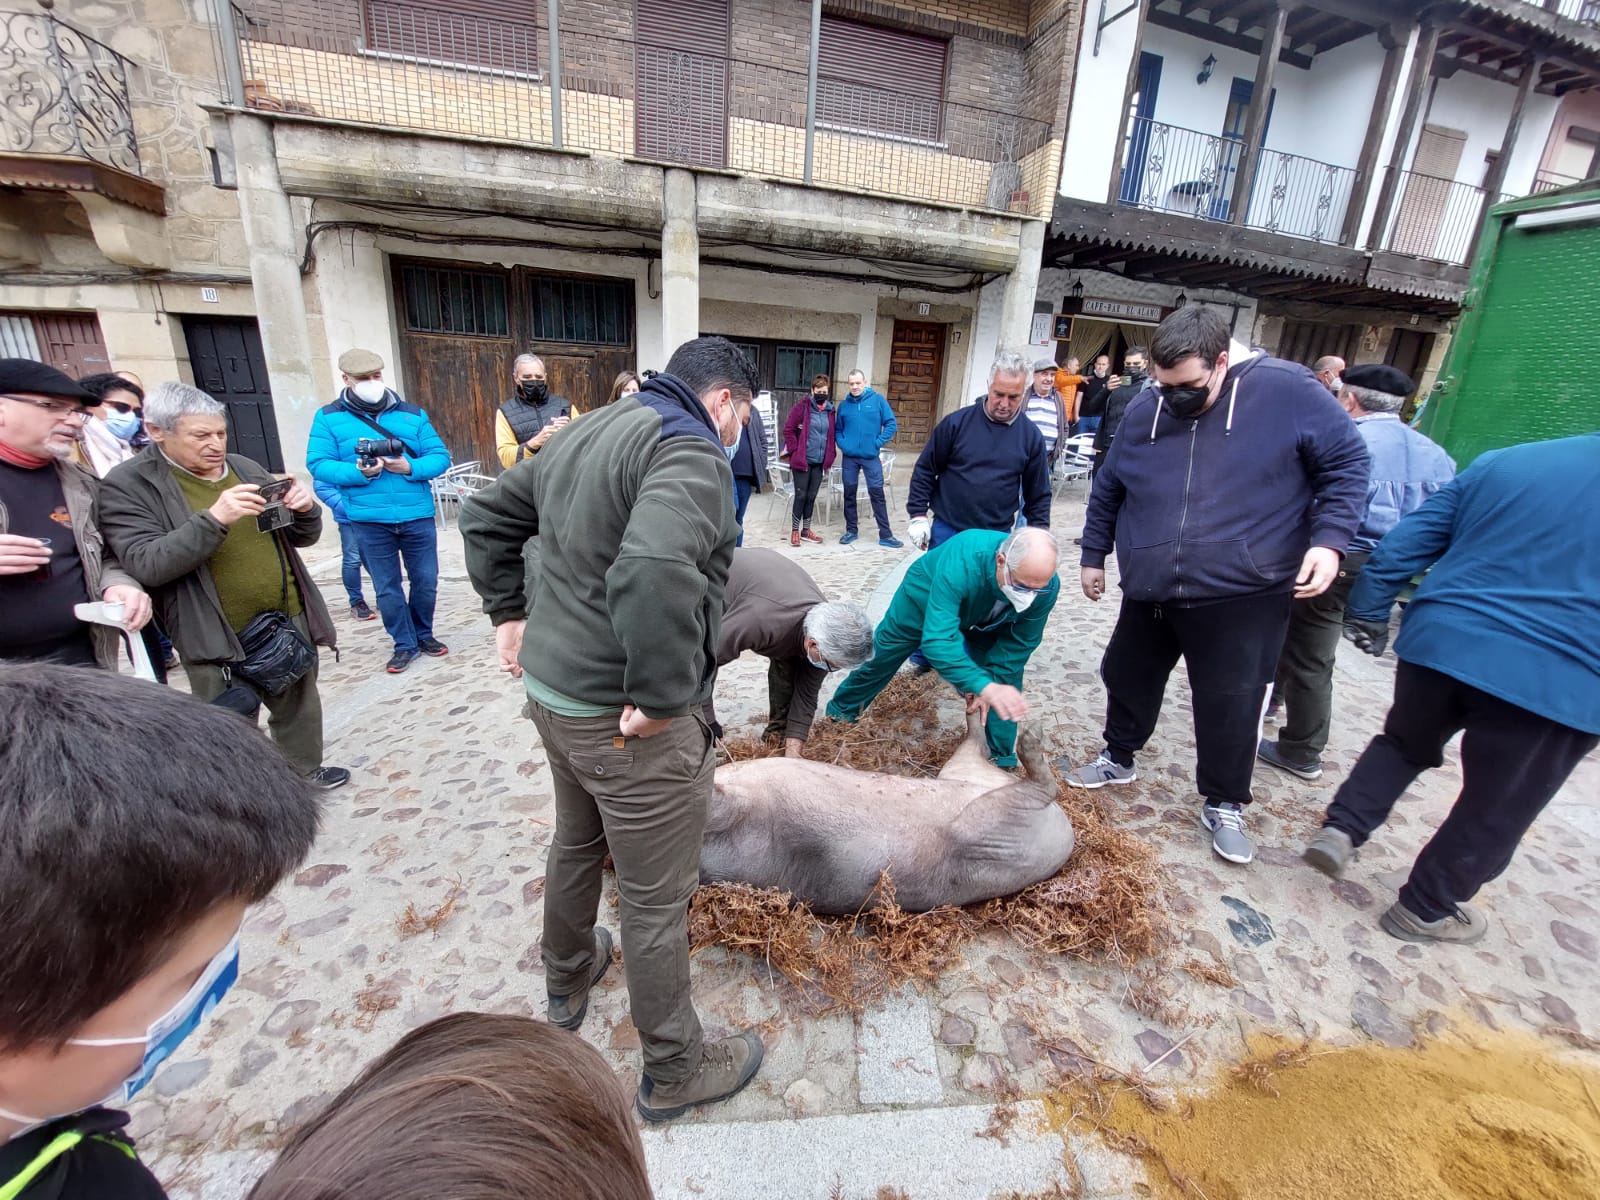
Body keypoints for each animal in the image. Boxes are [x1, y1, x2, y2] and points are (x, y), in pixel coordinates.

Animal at [704, 710, 1068, 915]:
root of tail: (1065, 840)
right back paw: (1031, 737)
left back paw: (975, 703)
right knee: (1040, 788)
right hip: (985, 829)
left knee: (979, 747)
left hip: (964, 774)